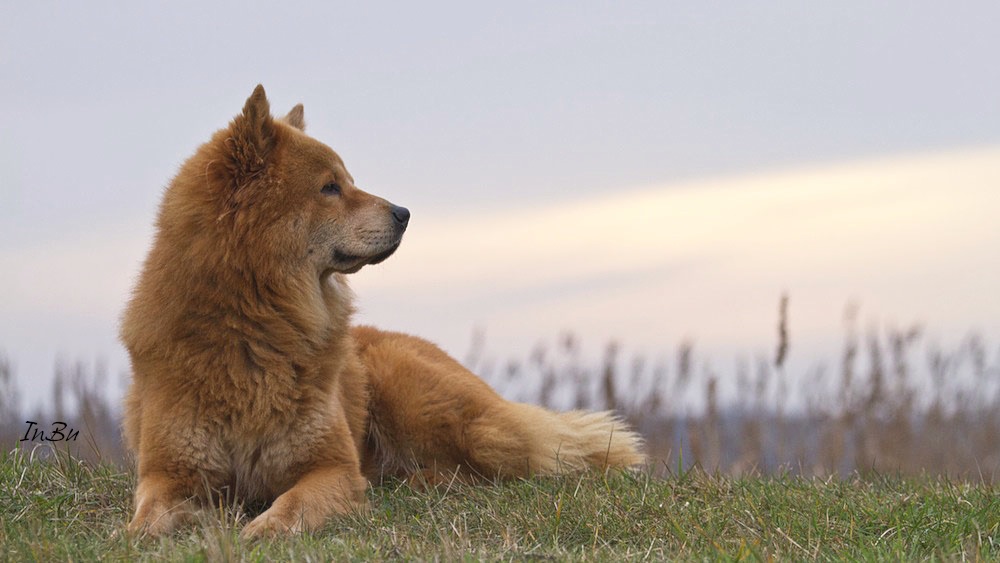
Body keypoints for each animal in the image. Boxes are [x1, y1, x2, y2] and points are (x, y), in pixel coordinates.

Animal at [123, 86, 640, 540]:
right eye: (330, 187)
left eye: (347, 181)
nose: (404, 212)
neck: (253, 327)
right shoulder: (168, 472)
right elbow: (148, 515)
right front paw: (144, 533)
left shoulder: (330, 467)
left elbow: (293, 502)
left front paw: (265, 529)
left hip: (423, 399)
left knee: (517, 462)